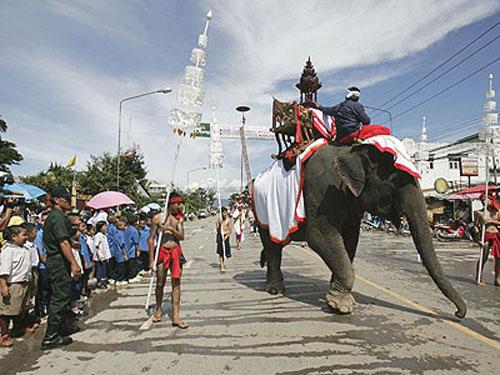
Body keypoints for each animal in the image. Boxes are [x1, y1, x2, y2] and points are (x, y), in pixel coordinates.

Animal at [260, 144, 466, 320]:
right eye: (398, 181)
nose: (457, 314)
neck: (351, 150)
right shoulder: (320, 191)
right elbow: (319, 237)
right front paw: (342, 306)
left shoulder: (351, 203)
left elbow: (350, 240)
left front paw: (336, 302)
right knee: (273, 248)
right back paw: (275, 290)